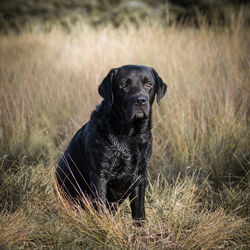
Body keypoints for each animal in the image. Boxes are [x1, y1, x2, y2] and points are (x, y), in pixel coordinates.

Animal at [55, 65, 167, 223]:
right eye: (124, 85)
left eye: (149, 84)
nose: (140, 100)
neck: (129, 136)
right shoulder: (99, 176)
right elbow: (102, 210)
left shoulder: (140, 178)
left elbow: (139, 213)